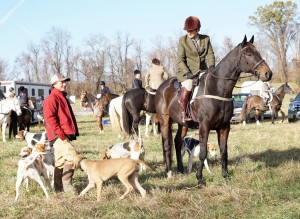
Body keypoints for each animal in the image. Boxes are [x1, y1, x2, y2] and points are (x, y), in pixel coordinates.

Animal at [156, 35, 274, 183]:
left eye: (257, 52)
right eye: (248, 54)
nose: (268, 73)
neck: (217, 88)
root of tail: (162, 87)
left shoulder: (224, 127)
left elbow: (224, 151)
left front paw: (225, 175)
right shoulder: (204, 126)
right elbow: (203, 153)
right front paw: (199, 178)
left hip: (183, 123)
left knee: (177, 142)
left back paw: (181, 170)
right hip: (165, 120)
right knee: (167, 145)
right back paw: (169, 172)